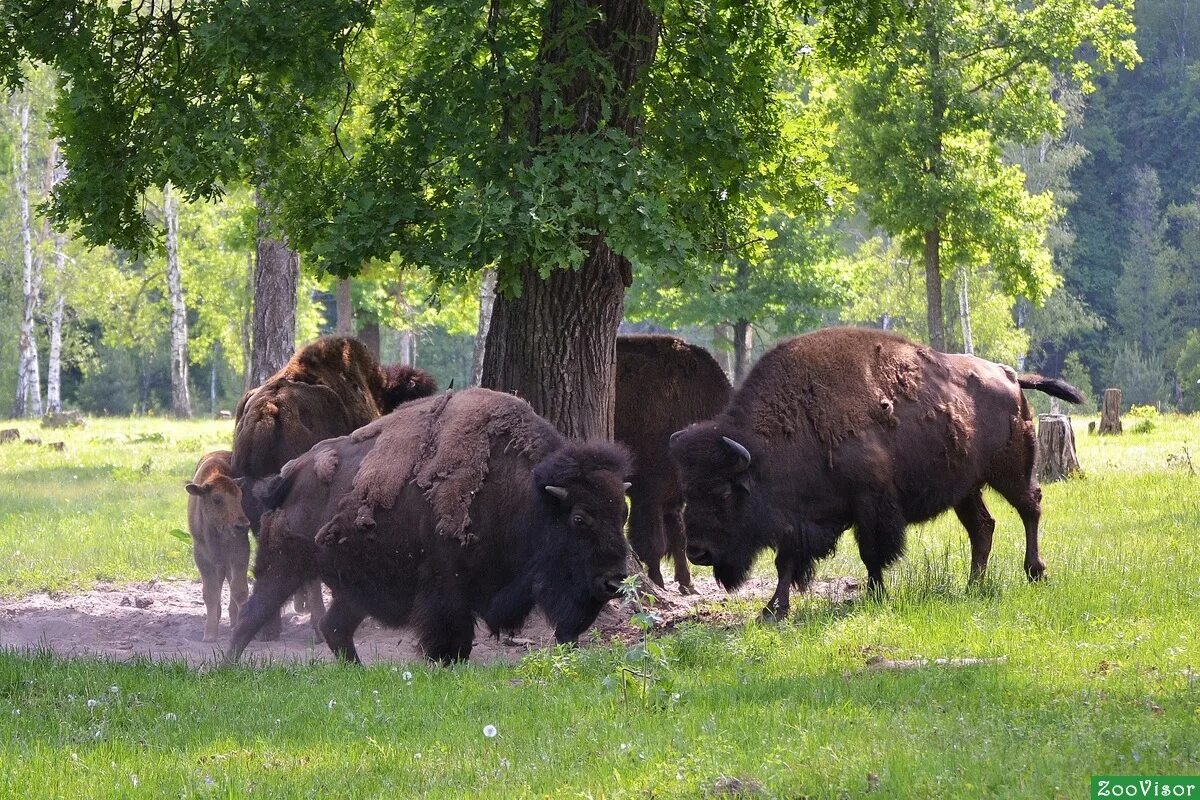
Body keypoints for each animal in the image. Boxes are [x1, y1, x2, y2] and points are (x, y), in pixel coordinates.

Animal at [183, 450, 252, 642]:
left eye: (240, 496)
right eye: (217, 499)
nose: (242, 525)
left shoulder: (240, 552)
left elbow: (239, 590)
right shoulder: (202, 556)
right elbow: (210, 592)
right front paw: (210, 633)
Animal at [226, 391, 638, 666]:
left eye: (623, 514)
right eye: (579, 518)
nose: (614, 581)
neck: (531, 497)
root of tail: (291, 472)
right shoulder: (446, 585)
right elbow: (451, 633)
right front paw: (445, 662)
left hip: (353, 588)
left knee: (334, 626)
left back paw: (357, 671)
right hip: (284, 567)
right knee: (252, 614)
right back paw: (227, 667)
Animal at [619, 333, 729, 594]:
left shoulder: (674, 495)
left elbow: (678, 536)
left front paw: (687, 584)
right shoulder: (648, 493)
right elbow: (654, 542)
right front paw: (658, 582)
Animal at [672, 326, 1084, 618]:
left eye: (725, 492)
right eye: (687, 491)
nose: (697, 552)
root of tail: (1008, 374)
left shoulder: (870, 505)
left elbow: (871, 553)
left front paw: (875, 595)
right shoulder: (801, 518)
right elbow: (785, 562)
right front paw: (772, 611)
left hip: (1010, 471)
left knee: (1030, 507)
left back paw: (1035, 572)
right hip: (965, 489)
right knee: (983, 527)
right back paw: (973, 586)